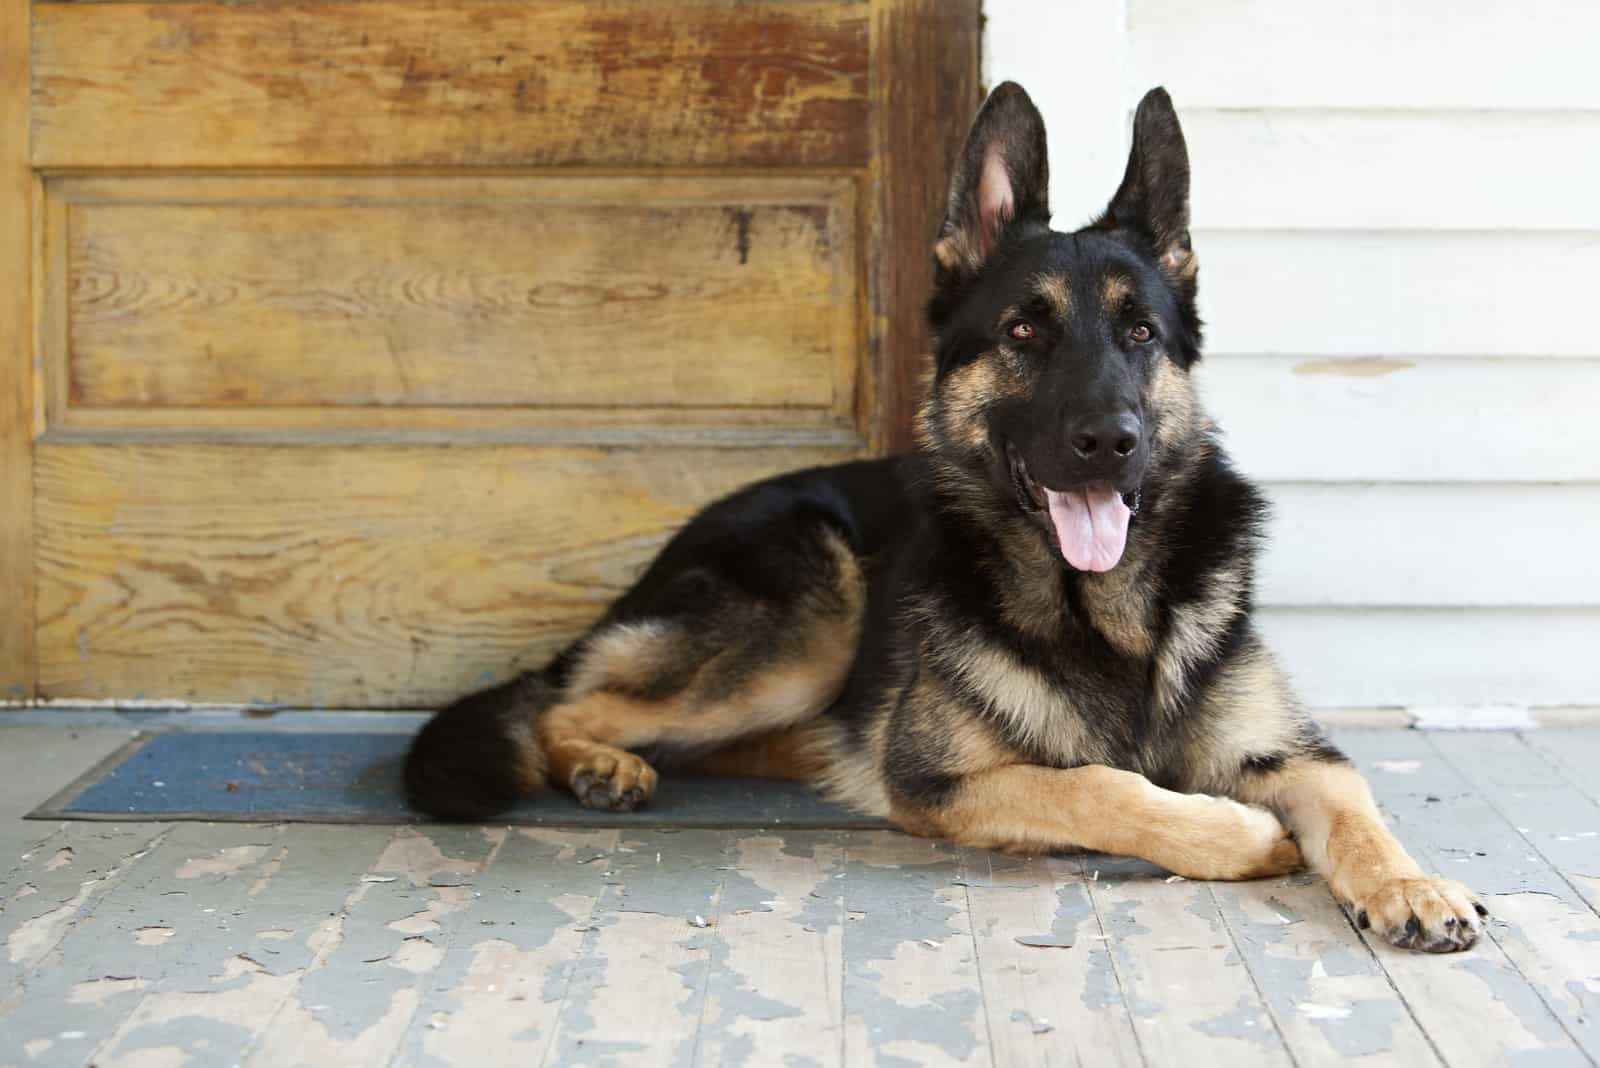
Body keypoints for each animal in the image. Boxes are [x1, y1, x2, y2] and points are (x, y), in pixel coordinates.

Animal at [412, 85, 1484, 952]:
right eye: (1024, 330)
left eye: (1142, 332)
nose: (1112, 441)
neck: (1107, 619)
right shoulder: (945, 784)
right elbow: (1098, 785)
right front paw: (1239, 834)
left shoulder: (1297, 756)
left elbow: (1357, 806)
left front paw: (1413, 883)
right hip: (811, 616)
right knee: (562, 705)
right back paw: (606, 762)